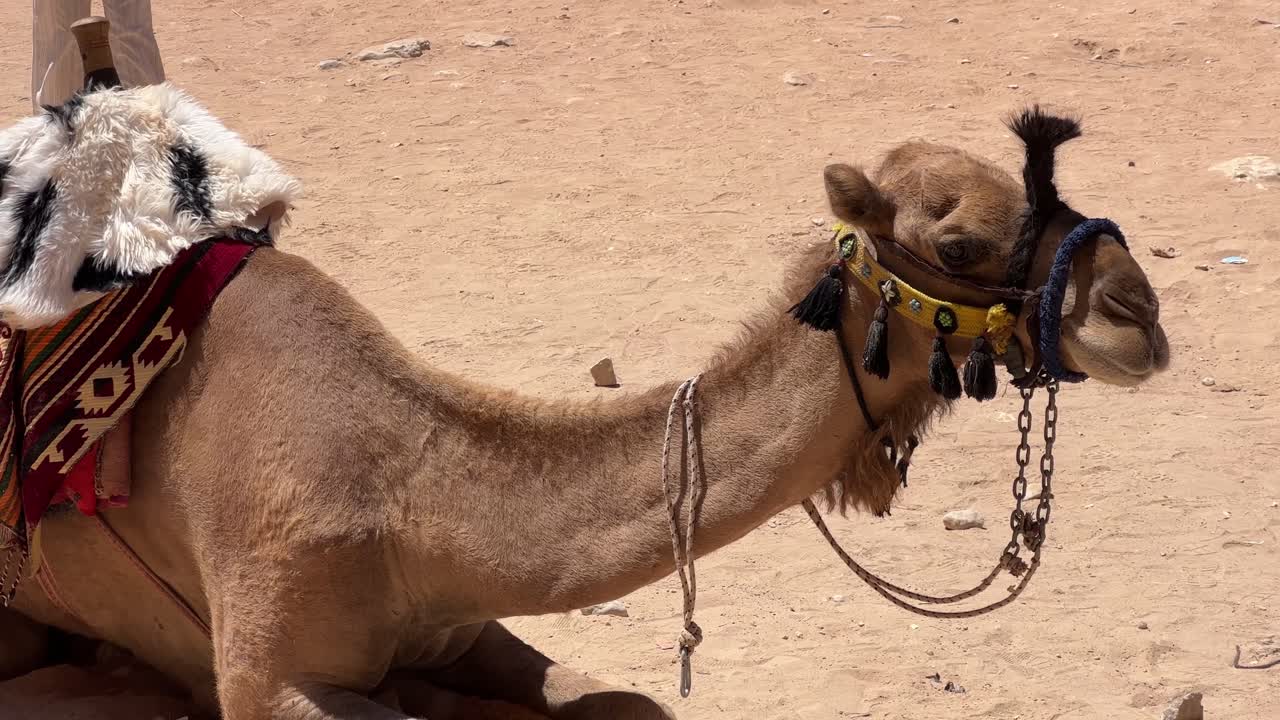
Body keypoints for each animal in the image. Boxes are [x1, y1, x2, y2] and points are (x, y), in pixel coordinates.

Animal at [0, 107, 1169, 719]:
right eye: (959, 239)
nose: (1139, 312)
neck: (402, 483)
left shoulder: (462, 621)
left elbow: (624, 702)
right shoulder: (266, 673)